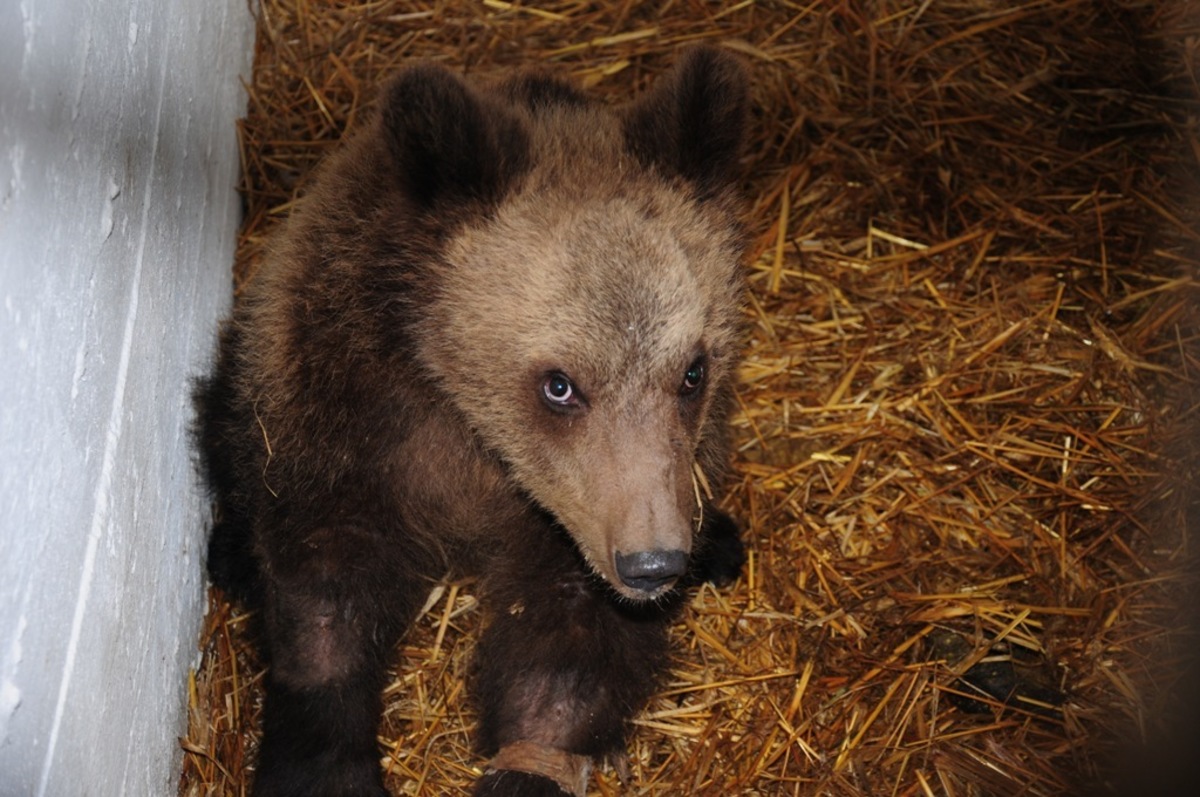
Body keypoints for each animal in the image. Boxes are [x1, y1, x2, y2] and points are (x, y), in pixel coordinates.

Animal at [199, 46, 748, 792]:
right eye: (559, 385)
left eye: (692, 370)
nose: (651, 562)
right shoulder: (343, 412)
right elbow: (324, 593)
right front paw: (323, 763)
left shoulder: (572, 517)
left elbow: (565, 649)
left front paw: (526, 764)